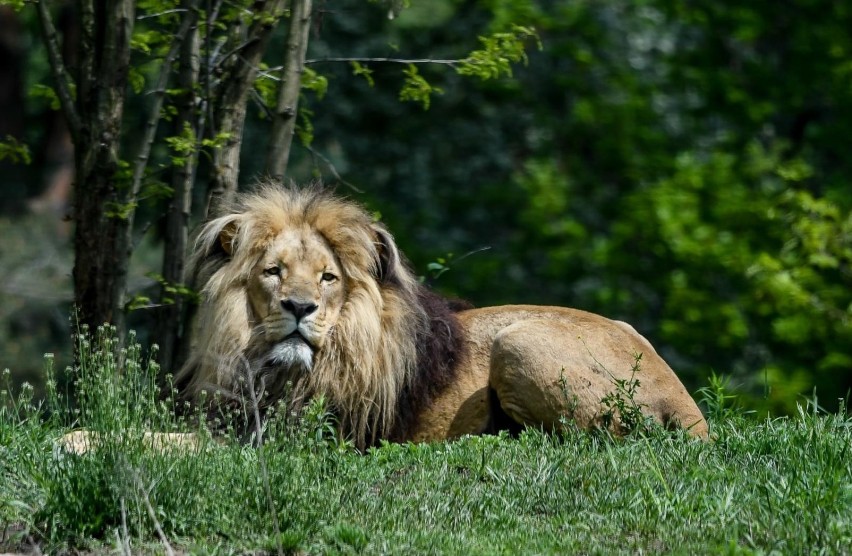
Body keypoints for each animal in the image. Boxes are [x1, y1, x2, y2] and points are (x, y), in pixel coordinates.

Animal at [176, 185, 708, 450]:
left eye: (328, 278)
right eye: (274, 272)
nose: (300, 307)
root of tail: (686, 402)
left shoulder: (297, 438)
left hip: (517, 341)